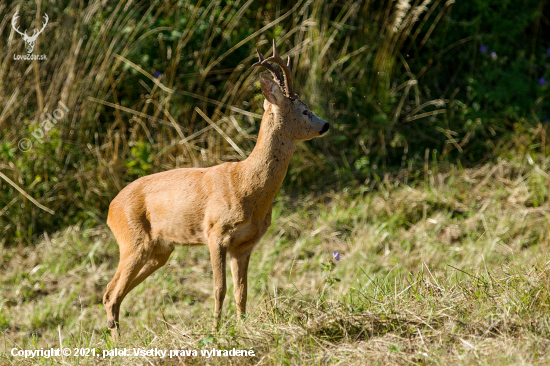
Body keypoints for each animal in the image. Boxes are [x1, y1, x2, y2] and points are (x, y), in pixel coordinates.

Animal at [103, 40, 330, 338]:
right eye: (304, 110)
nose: (326, 124)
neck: (246, 185)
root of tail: (110, 209)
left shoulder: (244, 244)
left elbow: (242, 291)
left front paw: (243, 325)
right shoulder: (215, 233)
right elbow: (219, 288)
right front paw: (216, 329)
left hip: (159, 250)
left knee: (114, 293)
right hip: (132, 241)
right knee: (111, 292)